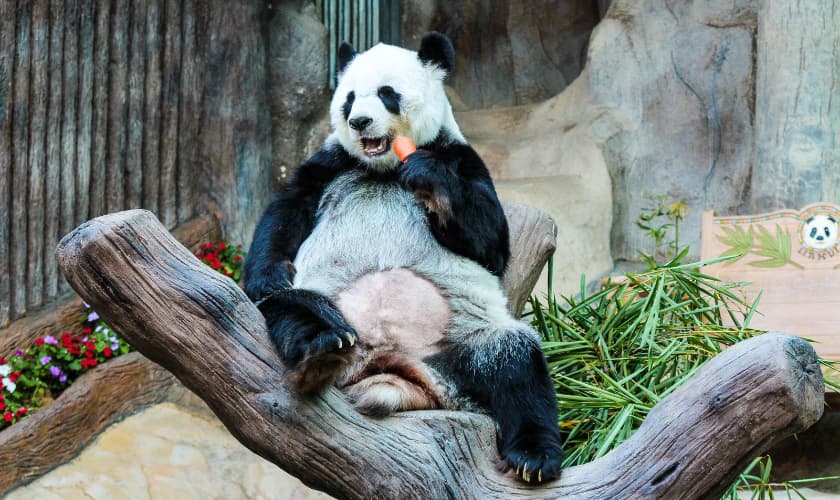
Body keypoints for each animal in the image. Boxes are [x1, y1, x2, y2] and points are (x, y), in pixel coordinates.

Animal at [243, 32, 564, 484]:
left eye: (386, 93)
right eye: (349, 99)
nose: (360, 122)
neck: (385, 168)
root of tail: (385, 365)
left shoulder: (460, 158)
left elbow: (491, 244)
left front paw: (429, 178)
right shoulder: (331, 164)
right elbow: (285, 211)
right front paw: (269, 274)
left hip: (462, 339)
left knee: (515, 365)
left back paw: (533, 457)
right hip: (329, 304)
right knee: (293, 307)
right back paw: (325, 343)